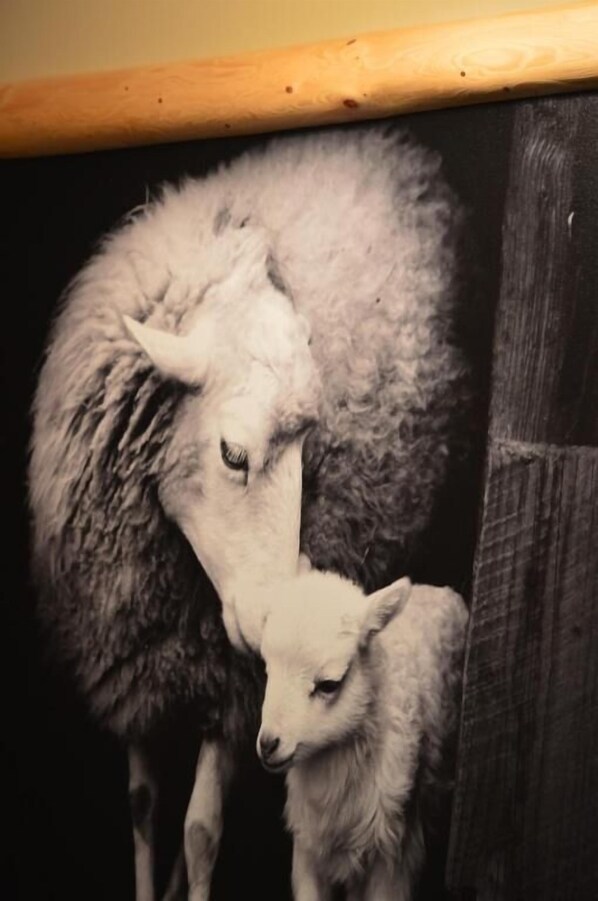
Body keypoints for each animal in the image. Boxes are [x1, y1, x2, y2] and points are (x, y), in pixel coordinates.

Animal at [256, 568, 468, 901]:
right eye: (267, 669)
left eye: (329, 684)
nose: (268, 744)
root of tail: (438, 588)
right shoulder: (309, 845)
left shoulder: (393, 851)